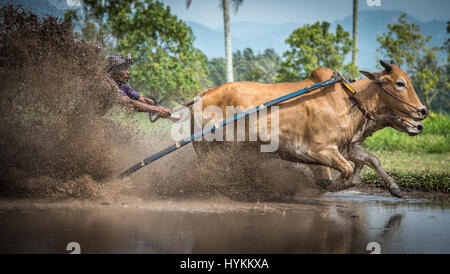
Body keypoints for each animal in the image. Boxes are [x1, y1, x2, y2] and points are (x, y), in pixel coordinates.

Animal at [190, 60, 426, 197]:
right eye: (400, 83)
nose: (422, 113)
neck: (350, 100)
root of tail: (204, 94)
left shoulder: (346, 147)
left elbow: (370, 161)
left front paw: (394, 188)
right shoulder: (320, 150)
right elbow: (347, 171)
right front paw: (331, 185)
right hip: (211, 148)